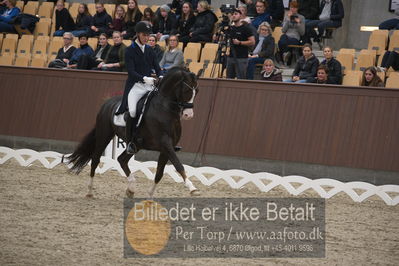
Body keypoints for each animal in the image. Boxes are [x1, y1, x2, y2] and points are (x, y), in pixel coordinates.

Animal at [65, 67, 200, 198]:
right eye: (187, 91)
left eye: (197, 92)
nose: (189, 115)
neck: (165, 109)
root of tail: (107, 103)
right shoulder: (165, 143)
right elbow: (178, 165)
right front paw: (192, 188)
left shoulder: (167, 148)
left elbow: (159, 173)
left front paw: (150, 197)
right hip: (104, 135)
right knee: (95, 159)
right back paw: (90, 191)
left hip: (136, 145)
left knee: (122, 159)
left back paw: (131, 188)